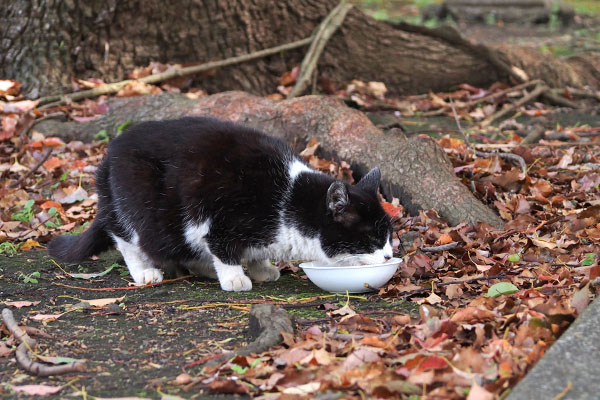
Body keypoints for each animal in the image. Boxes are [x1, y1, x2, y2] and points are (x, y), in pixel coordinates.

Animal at [48, 115, 394, 290]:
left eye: (390, 235)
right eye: (372, 237)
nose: (390, 255)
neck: (288, 202)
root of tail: (109, 154)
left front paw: (261, 268)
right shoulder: (222, 218)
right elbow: (223, 247)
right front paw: (234, 277)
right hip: (142, 202)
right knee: (127, 236)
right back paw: (145, 272)